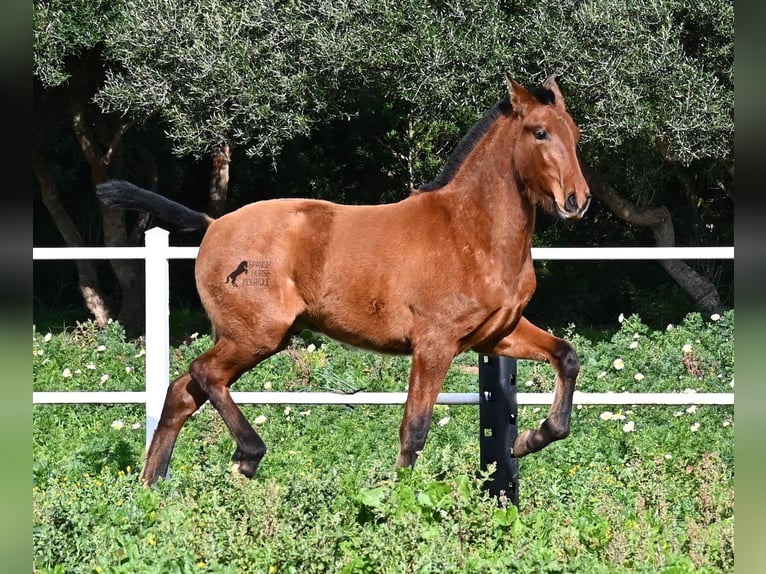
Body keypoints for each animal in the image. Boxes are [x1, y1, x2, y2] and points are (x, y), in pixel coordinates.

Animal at [97, 75, 592, 486]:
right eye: (540, 132)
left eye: (575, 134)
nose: (577, 200)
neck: (471, 233)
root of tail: (213, 223)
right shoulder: (435, 344)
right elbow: (414, 429)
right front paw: (400, 503)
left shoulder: (496, 335)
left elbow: (566, 357)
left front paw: (528, 440)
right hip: (257, 335)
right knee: (203, 375)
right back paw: (246, 456)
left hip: (247, 337)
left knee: (182, 393)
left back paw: (153, 490)